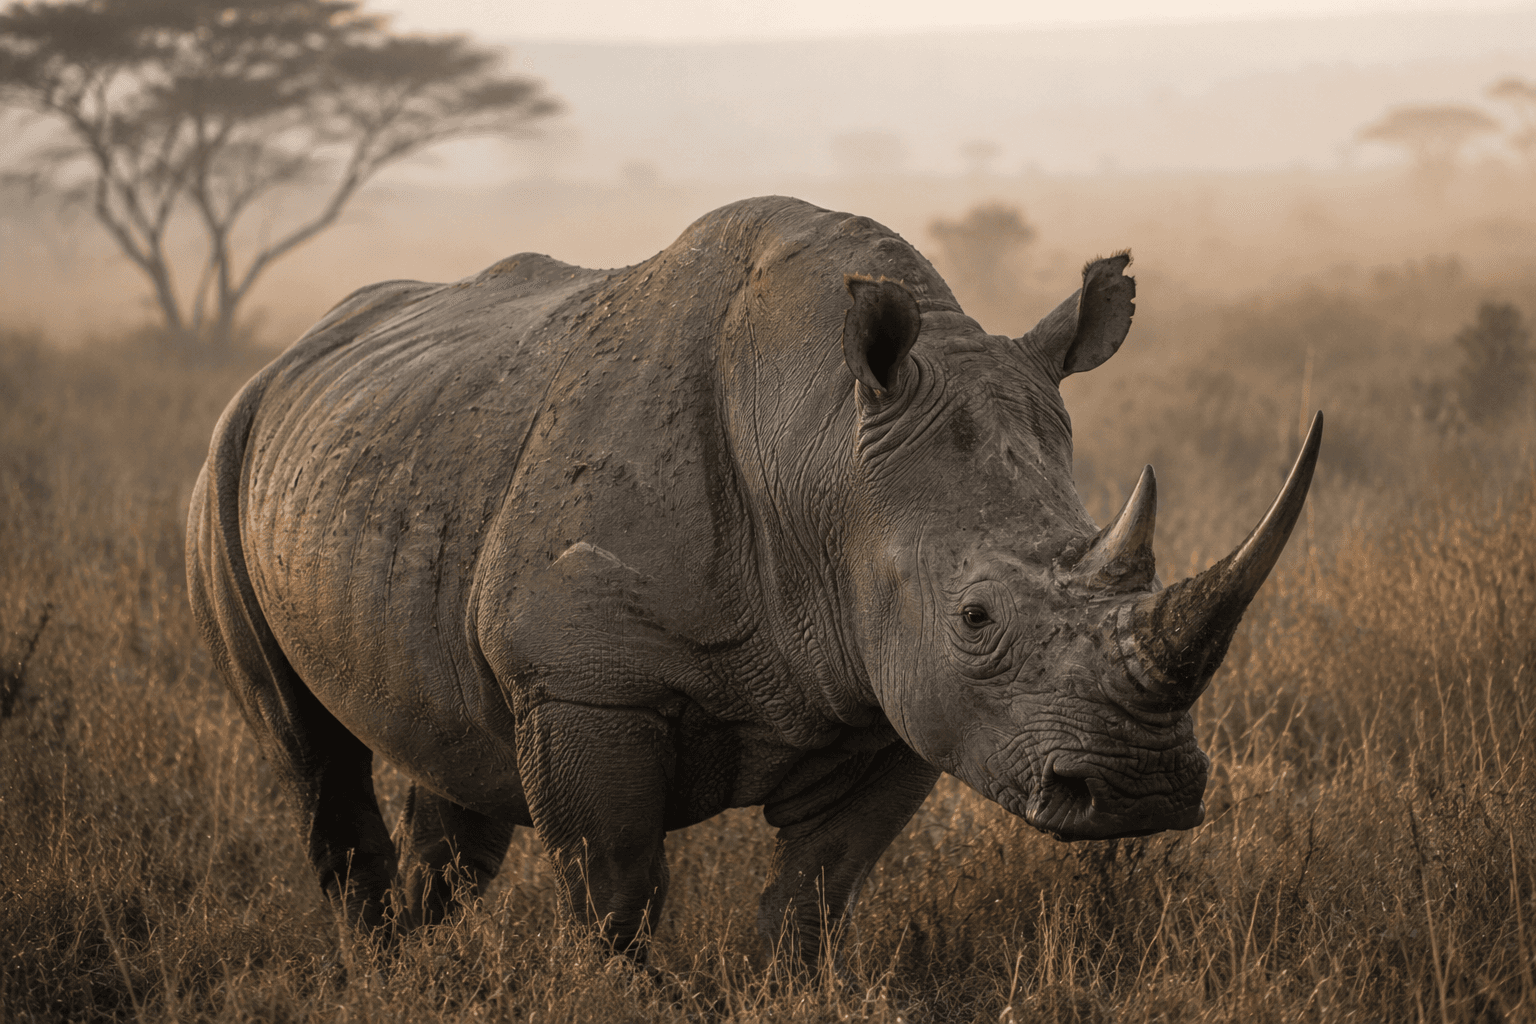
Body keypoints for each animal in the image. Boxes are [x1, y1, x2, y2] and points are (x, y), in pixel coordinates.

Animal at [187, 195, 1320, 968]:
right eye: (976, 617)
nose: (1142, 789)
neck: (823, 449)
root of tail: (291, 356)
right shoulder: (582, 685)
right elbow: (616, 888)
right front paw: (624, 991)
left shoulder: (895, 693)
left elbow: (819, 890)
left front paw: (774, 981)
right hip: (226, 461)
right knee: (313, 755)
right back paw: (376, 962)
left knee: (452, 766)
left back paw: (422, 960)